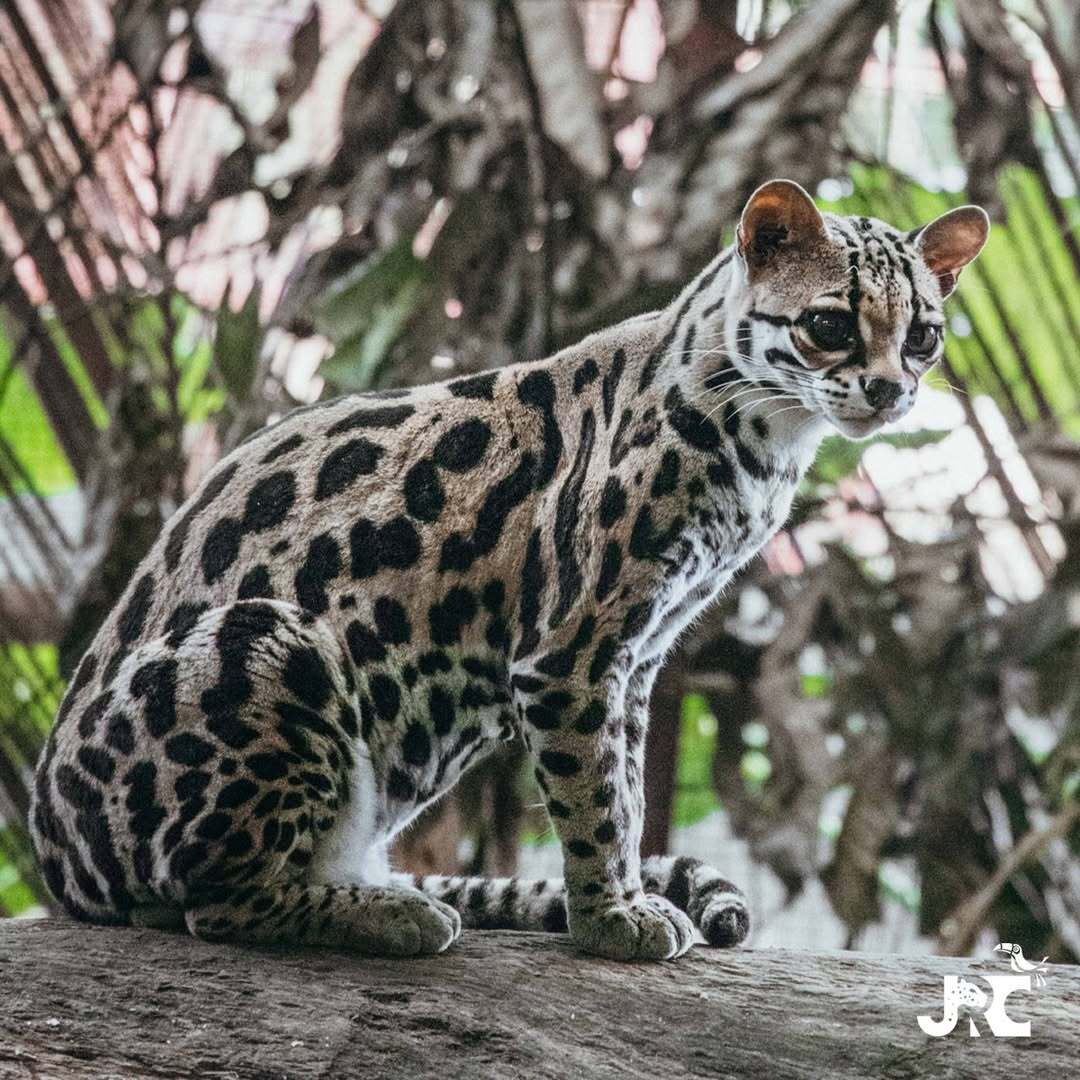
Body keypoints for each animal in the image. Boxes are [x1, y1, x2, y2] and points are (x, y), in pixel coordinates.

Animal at [29, 179, 989, 963]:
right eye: (830, 325)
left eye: (924, 338)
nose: (889, 390)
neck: (767, 441)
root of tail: (54, 861)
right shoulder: (573, 653)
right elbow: (596, 801)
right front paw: (610, 920)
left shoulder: (637, 657)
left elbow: (626, 787)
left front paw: (620, 902)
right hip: (265, 639)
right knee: (215, 905)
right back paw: (389, 915)